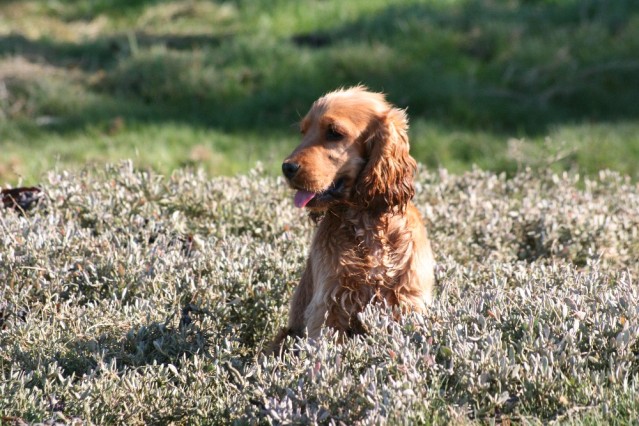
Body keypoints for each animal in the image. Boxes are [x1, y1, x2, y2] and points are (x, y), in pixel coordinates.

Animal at [274, 86, 436, 350]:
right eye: (303, 132)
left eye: (334, 133)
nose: (287, 168)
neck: (369, 227)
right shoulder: (329, 305)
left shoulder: (408, 299)